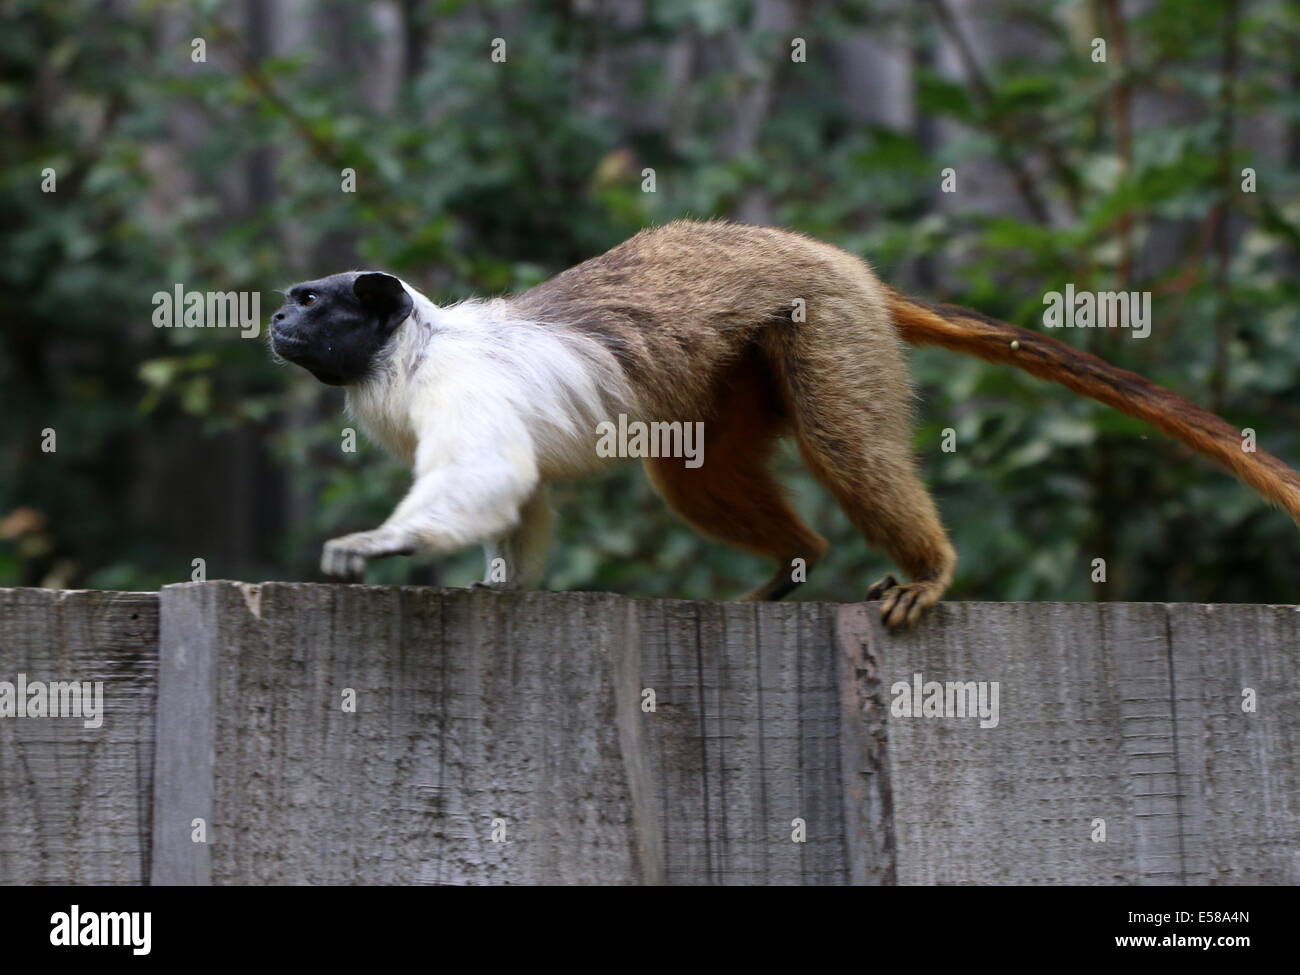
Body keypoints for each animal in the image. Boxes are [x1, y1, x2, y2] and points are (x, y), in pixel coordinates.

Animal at [269, 218, 1300, 629]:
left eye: (309, 301)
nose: (275, 319)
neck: (410, 349)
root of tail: (835, 260)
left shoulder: (457, 384)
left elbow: (488, 475)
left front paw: (380, 544)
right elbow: (520, 505)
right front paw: (503, 593)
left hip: (826, 318)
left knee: (844, 440)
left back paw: (928, 570)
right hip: (741, 365)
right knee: (689, 468)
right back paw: (792, 562)